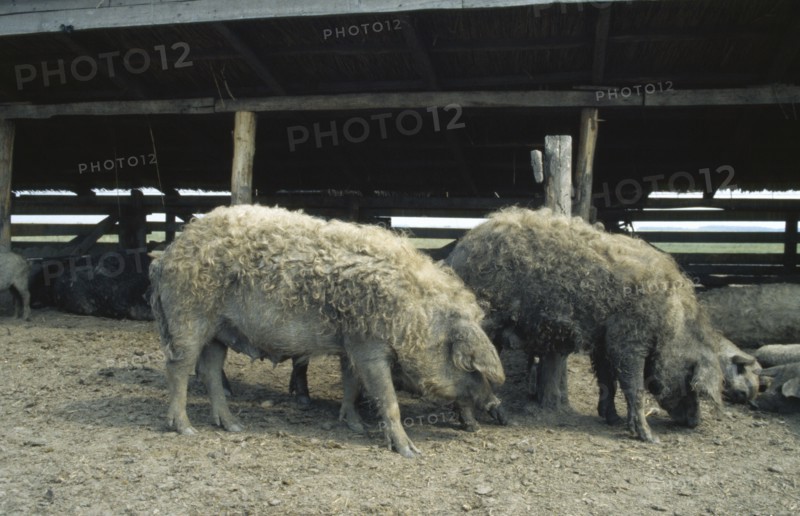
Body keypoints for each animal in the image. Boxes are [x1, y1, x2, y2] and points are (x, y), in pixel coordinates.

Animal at [149, 205, 506, 457]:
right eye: (469, 366)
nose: (495, 405)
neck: (414, 318)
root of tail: (168, 253)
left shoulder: (350, 345)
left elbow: (351, 384)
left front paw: (355, 426)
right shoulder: (368, 346)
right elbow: (388, 397)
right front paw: (410, 451)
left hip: (219, 331)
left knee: (209, 371)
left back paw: (233, 426)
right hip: (189, 317)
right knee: (178, 366)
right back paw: (185, 429)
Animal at [446, 207, 723, 442]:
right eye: (691, 383)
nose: (696, 422)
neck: (669, 323)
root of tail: (457, 254)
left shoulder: (603, 341)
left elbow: (607, 380)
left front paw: (612, 419)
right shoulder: (628, 340)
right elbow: (633, 386)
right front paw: (649, 438)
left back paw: (498, 420)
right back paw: (484, 424)